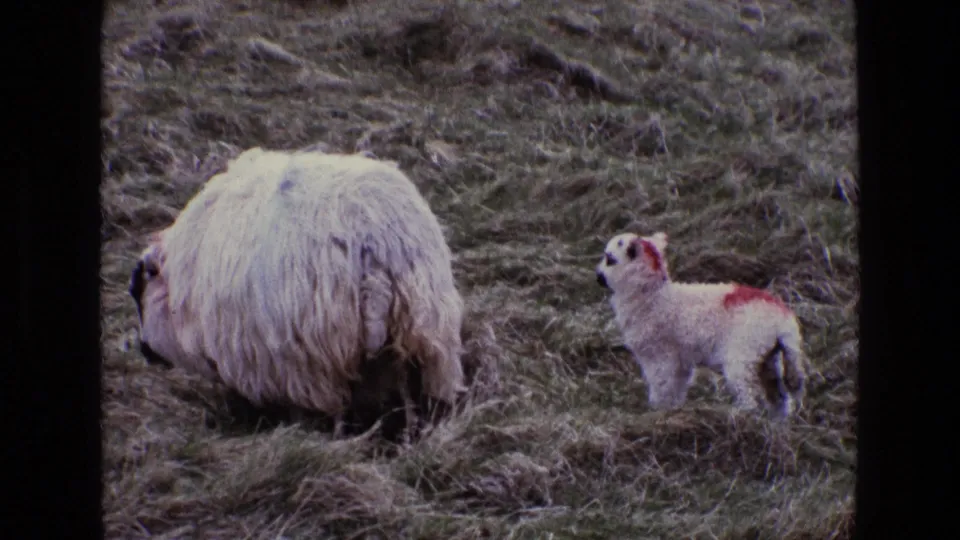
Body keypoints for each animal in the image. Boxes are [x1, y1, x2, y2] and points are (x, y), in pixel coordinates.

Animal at [129, 147, 467, 440]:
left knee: (334, 405)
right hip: (421, 324)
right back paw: (410, 436)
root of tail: (371, 243)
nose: (144, 351)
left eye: (138, 294)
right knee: (408, 385)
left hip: (317, 348)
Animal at [595, 231, 807, 418]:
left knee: (751, 396)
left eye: (610, 259)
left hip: (744, 356)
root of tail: (784, 320)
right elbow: (676, 388)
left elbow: (662, 386)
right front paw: (671, 411)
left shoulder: (660, 356)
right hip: (768, 359)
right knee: (780, 399)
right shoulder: (680, 363)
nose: (597, 277)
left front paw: (656, 410)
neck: (653, 295)